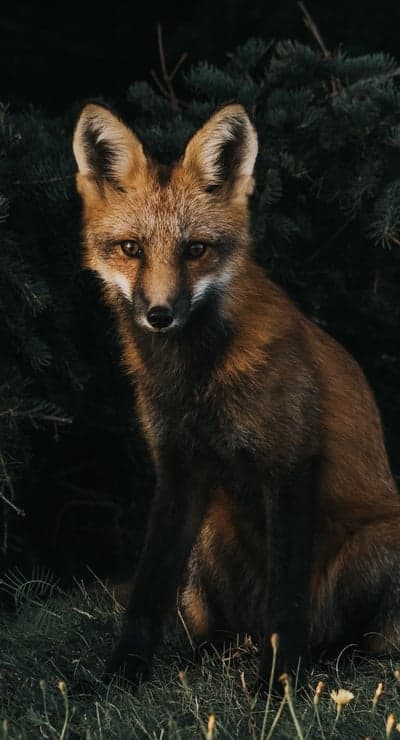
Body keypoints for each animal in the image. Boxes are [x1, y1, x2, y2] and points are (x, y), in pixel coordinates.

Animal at [72, 102, 400, 687]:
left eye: (196, 250)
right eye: (131, 249)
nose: (159, 315)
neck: (195, 381)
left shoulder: (291, 463)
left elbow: (286, 601)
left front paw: (280, 684)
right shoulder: (177, 468)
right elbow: (148, 590)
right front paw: (121, 676)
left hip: (382, 542)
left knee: (358, 640)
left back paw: (332, 659)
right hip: (210, 534)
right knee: (219, 629)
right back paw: (208, 654)